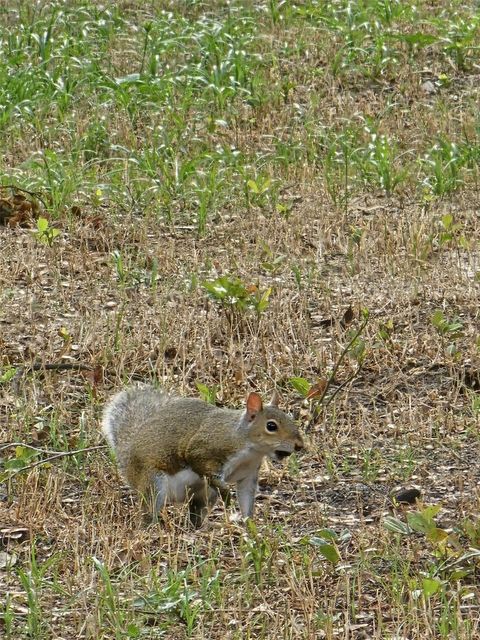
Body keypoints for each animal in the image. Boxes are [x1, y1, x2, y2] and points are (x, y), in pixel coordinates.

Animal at [101, 384, 304, 524]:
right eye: (271, 426)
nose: (299, 445)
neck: (248, 446)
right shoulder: (205, 450)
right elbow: (201, 465)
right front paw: (227, 496)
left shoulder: (248, 475)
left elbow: (246, 498)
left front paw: (249, 525)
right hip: (153, 482)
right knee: (148, 510)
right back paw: (153, 526)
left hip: (204, 496)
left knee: (195, 514)